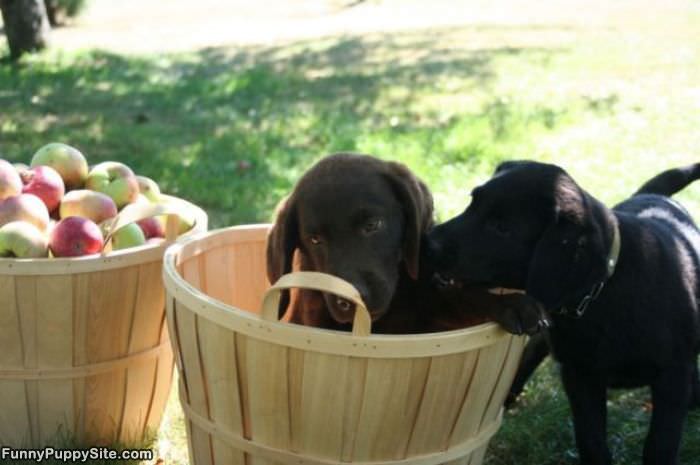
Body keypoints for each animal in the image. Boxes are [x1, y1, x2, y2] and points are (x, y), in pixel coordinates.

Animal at [424, 160, 700, 464]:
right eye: (472, 203)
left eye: (501, 228)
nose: (427, 244)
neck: (602, 291)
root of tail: (654, 196)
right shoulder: (578, 375)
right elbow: (591, 441)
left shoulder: (672, 376)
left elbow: (660, 443)